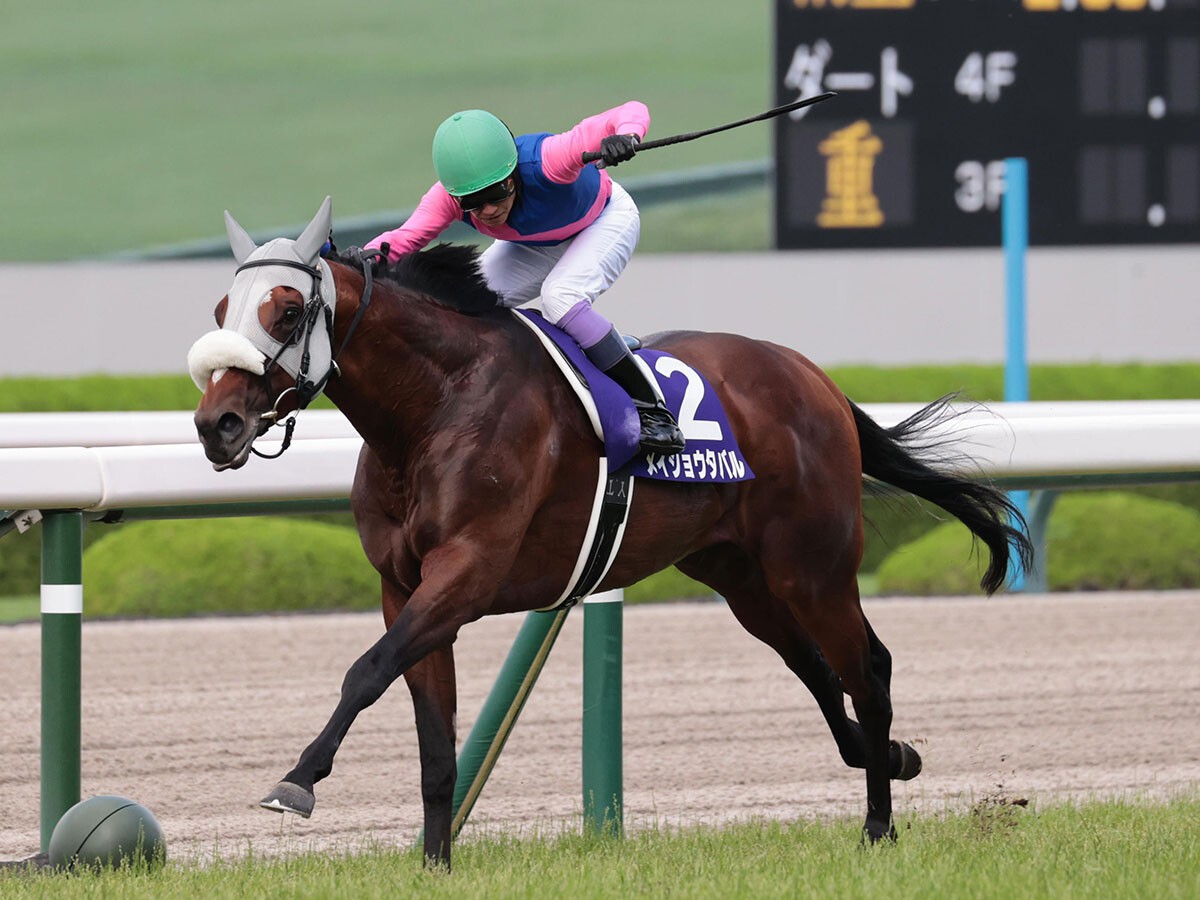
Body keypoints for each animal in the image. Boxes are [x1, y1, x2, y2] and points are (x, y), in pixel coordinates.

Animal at [191, 198, 1031, 869]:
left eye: (287, 311)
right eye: (221, 310)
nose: (215, 424)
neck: (434, 408)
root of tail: (812, 376)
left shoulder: (468, 573)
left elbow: (365, 673)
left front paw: (296, 782)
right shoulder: (405, 587)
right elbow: (433, 738)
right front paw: (434, 863)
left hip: (813, 566)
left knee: (868, 669)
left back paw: (878, 826)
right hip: (738, 575)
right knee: (818, 670)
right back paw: (888, 754)